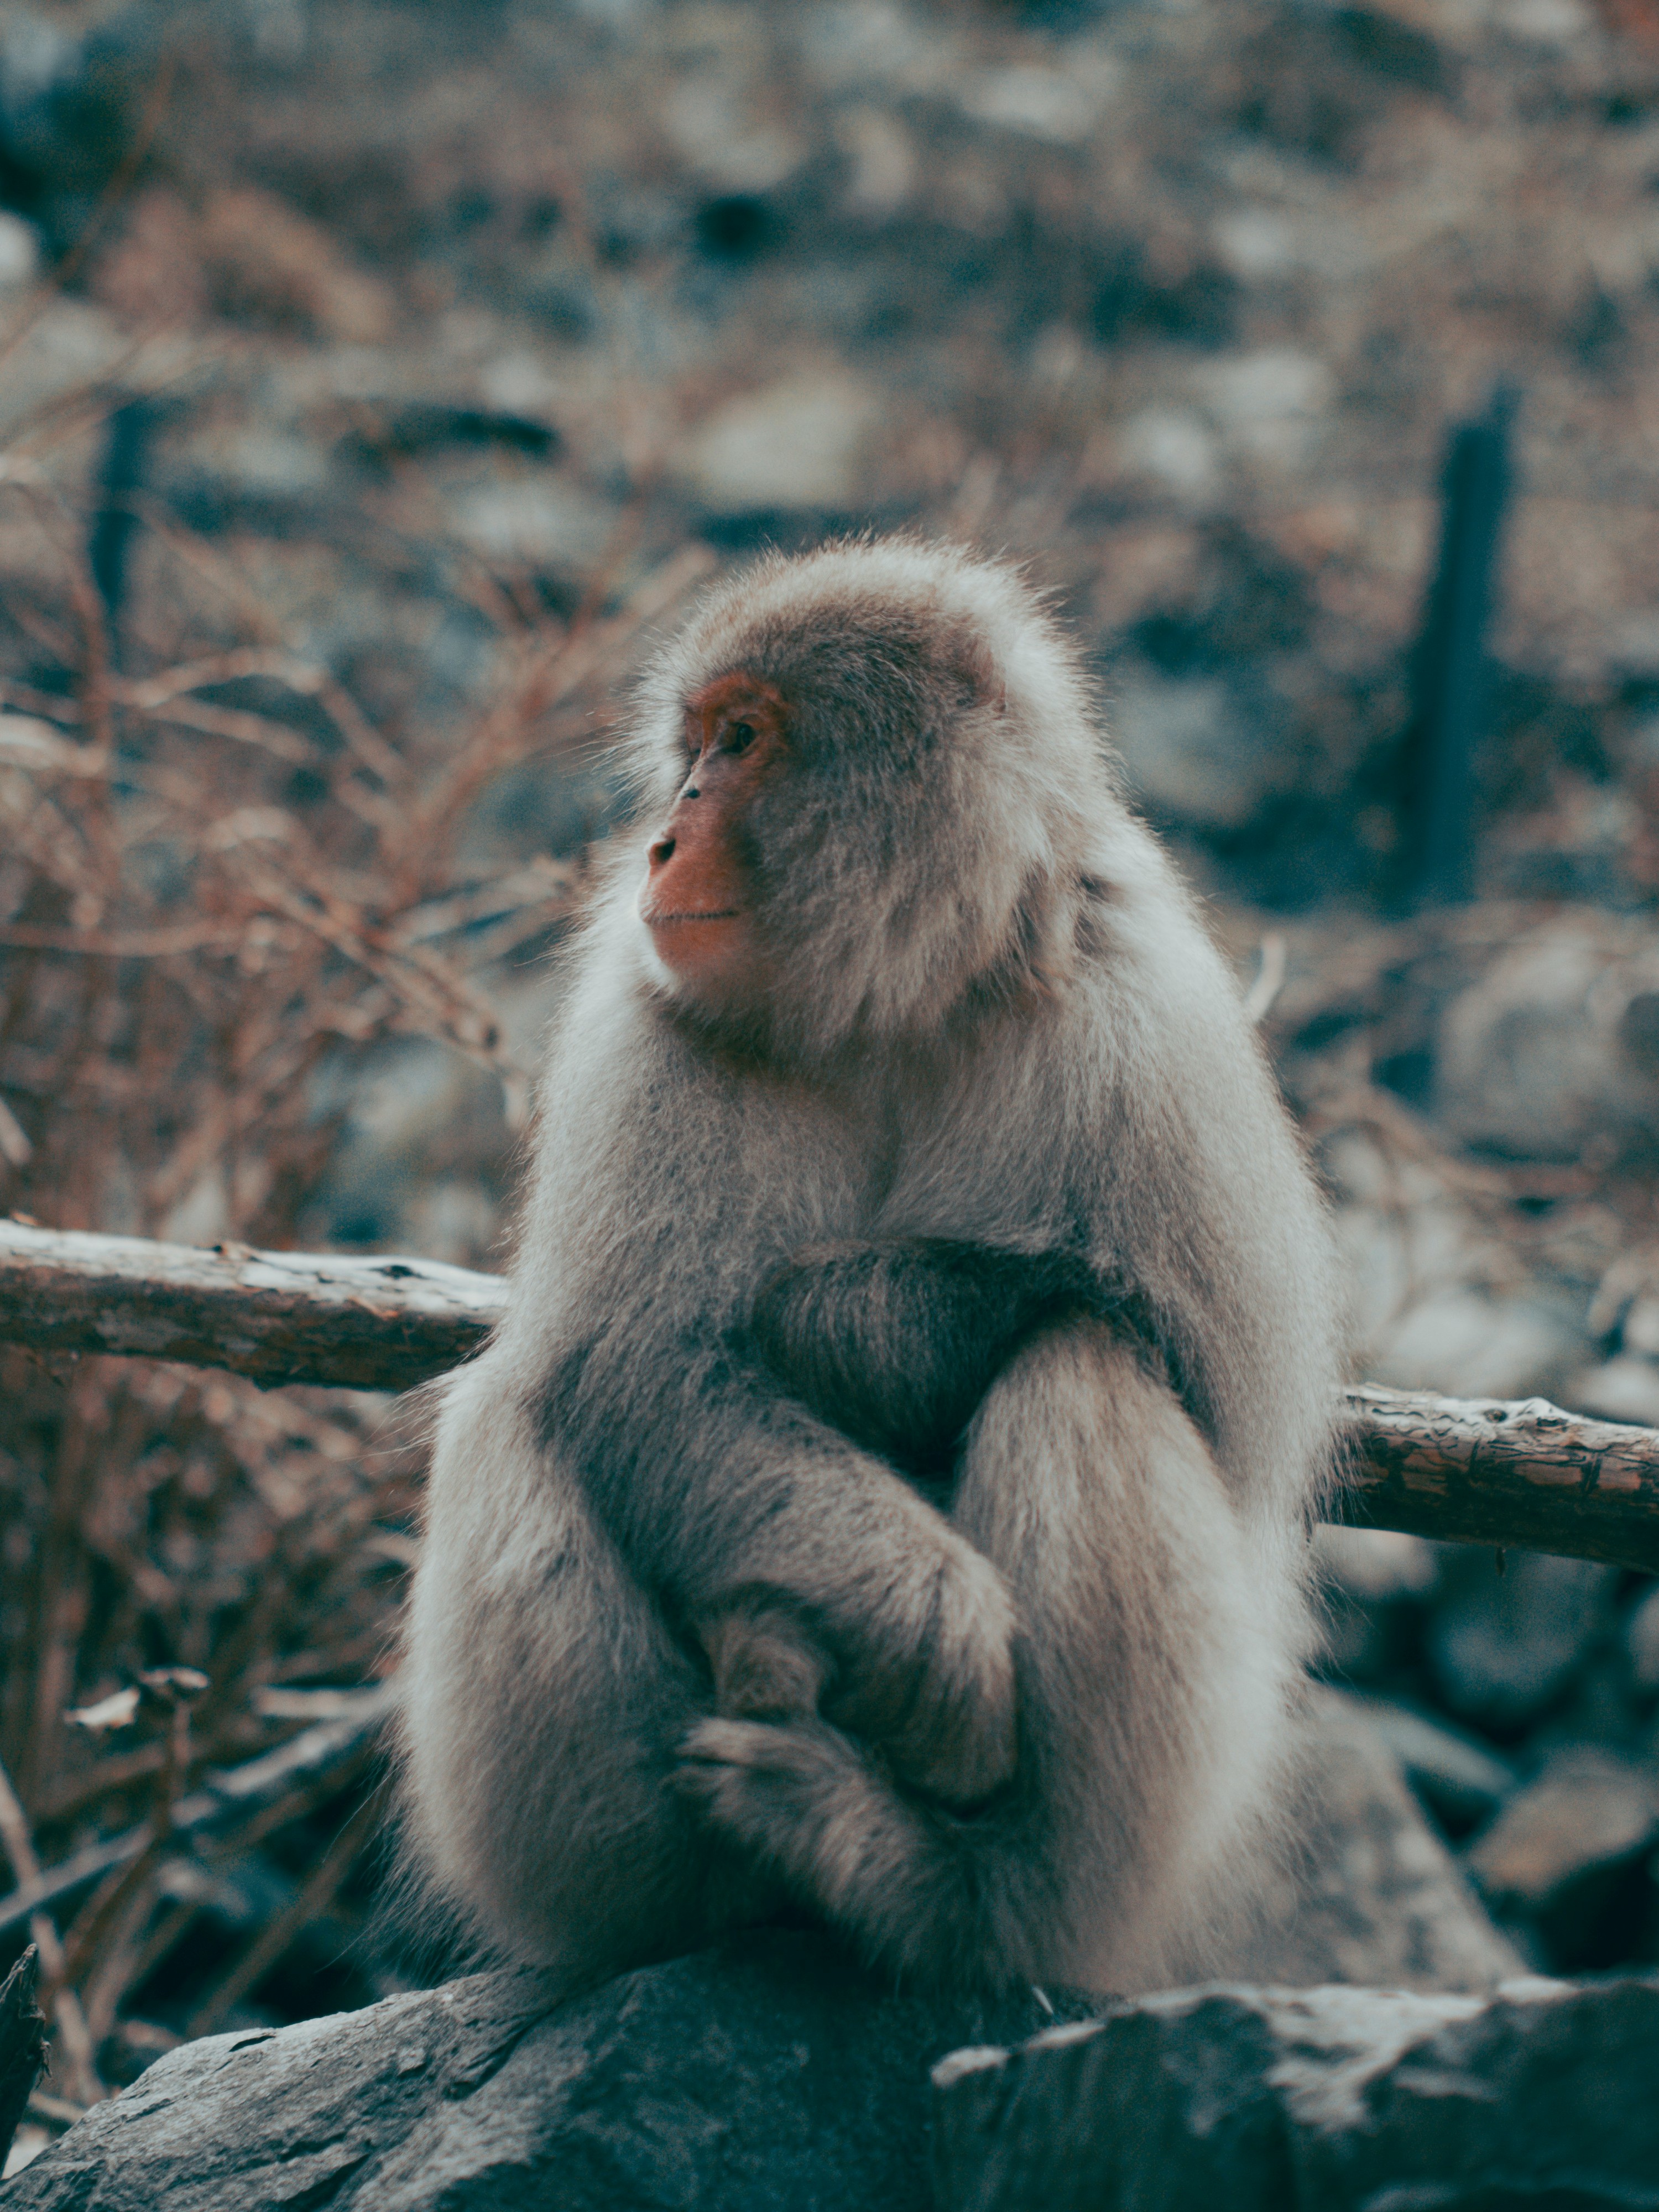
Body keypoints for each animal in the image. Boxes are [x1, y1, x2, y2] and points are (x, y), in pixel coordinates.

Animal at [397, 537, 1343, 2000]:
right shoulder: (642, 1013)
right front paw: (942, 1644)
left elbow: (1204, 1378)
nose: (662, 836)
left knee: (1088, 1362)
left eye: (742, 740)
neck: (896, 995)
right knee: (517, 1406)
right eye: (691, 746)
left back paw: (945, 1893)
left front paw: (857, 1323)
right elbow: (638, 1370)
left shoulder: (1145, 1009)